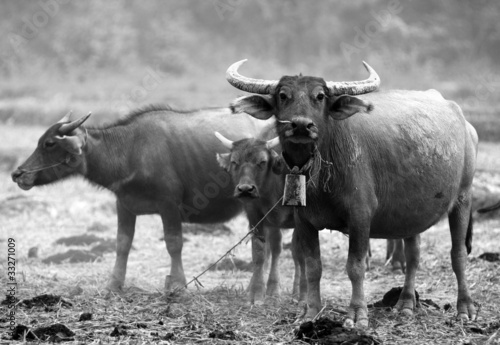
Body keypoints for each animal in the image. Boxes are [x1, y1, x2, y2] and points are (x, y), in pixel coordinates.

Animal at [11, 105, 268, 290]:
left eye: (49, 143)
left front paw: (178, 284)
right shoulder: (124, 205)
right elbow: (122, 244)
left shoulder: (168, 205)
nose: (17, 174)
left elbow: (174, 243)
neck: (131, 151)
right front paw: (114, 285)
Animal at [225, 60, 478, 326]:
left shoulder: (360, 216)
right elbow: (312, 266)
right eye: (283, 95)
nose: (301, 125)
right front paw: (311, 311)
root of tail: (465, 124)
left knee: (458, 253)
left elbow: (355, 266)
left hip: (463, 198)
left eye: (320, 96)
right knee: (413, 254)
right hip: (411, 214)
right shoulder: (303, 221)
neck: (319, 174)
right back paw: (406, 303)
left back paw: (465, 308)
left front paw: (357, 313)